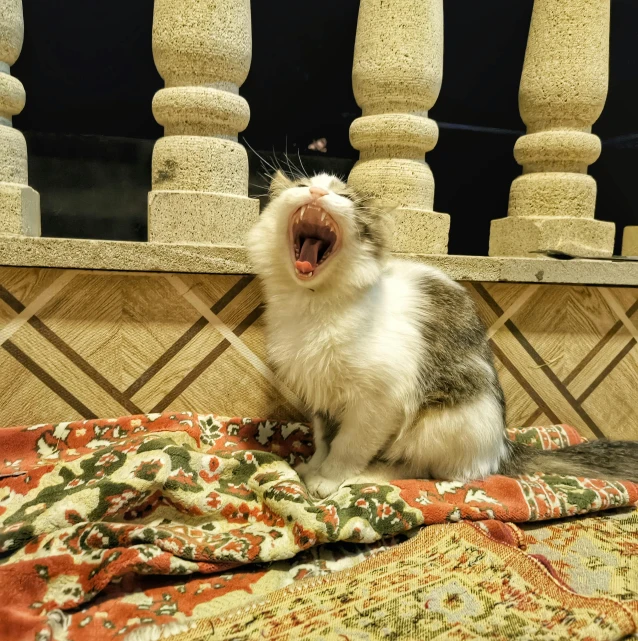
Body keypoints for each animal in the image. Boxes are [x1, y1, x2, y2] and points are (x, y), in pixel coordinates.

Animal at [249, 171, 638, 500]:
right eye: (302, 186)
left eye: (344, 196)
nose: (317, 193)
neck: (313, 307)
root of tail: (502, 447)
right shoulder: (320, 397)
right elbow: (322, 438)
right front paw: (313, 467)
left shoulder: (376, 403)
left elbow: (348, 446)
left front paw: (330, 478)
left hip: (435, 424)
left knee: (427, 470)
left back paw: (371, 474)